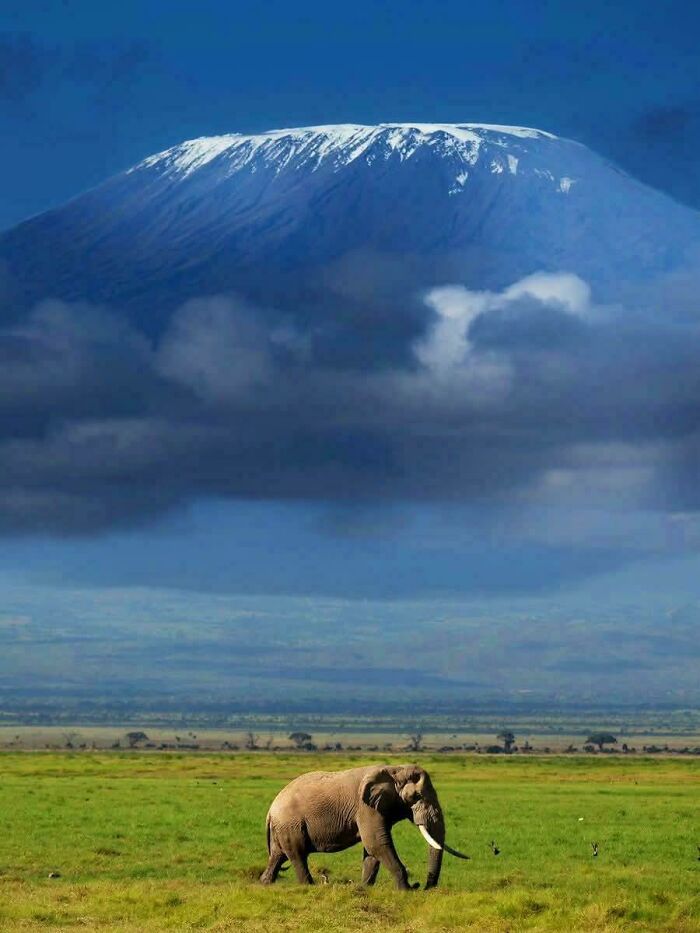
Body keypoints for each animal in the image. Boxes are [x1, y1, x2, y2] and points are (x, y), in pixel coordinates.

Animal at [259, 763, 469, 889]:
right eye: (416, 796)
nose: (422, 886)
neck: (395, 769)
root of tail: (270, 810)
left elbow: (372, 849)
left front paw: (365, 888)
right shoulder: (366, 807)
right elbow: (377, 843)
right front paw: (405, 891)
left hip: (283, 828)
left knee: (278, 856)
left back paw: (265, 884)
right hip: (290, 825)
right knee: (298, 855)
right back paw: (309, 887)